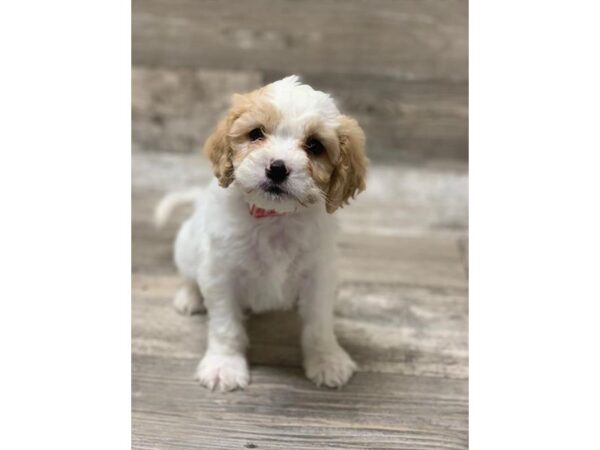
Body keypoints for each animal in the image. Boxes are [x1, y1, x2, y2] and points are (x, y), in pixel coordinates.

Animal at [155, 75, 368, 392]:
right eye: (256, 133)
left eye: (314, 145)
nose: (277, 169)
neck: (273, 218)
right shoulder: (220, 273)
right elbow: (225, 325)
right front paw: (224, 365)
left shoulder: (320, 274)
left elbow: (319, 325)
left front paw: (328, 360)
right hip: (186, 246)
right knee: (190, 275)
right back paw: (190, 296)